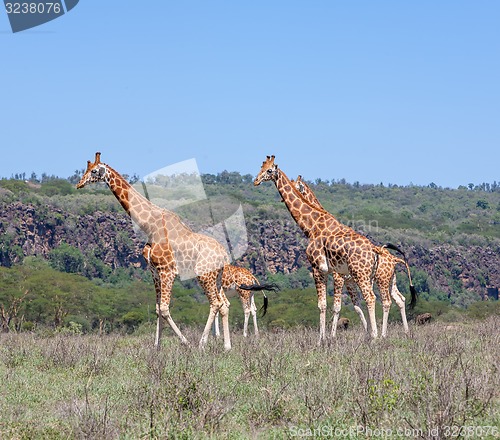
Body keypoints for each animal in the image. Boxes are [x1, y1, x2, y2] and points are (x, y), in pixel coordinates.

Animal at [294, 174, 416, 336]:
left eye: (297, 186)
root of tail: (394, 259)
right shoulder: (348, 281)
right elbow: (357, 307)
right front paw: (366, 333)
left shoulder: (339, 278)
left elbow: (338, 307)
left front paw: (332, 336)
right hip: (390, 280)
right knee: (399, 299)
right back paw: (405, 332)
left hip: (380, 280)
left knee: (387, 301)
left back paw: (384, 334)